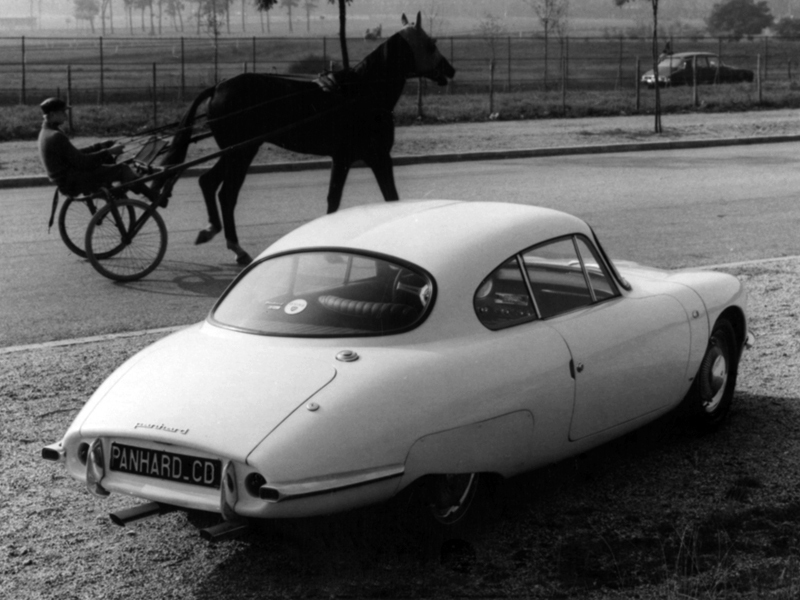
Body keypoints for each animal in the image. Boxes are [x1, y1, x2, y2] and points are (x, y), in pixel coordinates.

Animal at [159, 11, 454, 264]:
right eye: (431, 43)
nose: (450, 69)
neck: (361, 94)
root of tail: (219, 86)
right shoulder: (363, 157)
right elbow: (344, 198)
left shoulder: (366, 157)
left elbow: (380, 198)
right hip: (241, 151)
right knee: (226, 194)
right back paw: (236, 247)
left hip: (237, 151)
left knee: (208, 182)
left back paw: (214, 230)